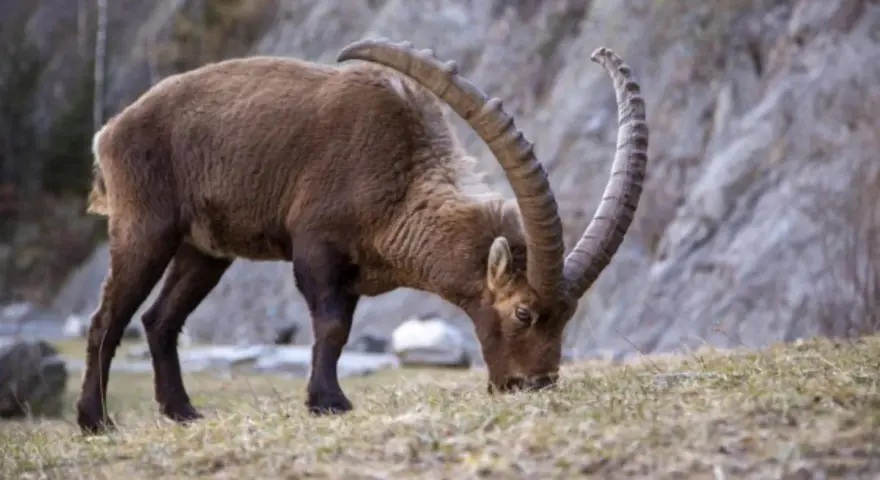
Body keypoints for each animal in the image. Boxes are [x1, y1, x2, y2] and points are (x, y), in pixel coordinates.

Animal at [76, 38, 648, 435]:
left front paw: (324, 398)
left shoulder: (349, 274)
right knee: (108, 319)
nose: (530, 386)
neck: (399, 175)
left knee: (160, 320)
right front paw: (328, 402)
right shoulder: (316, 250)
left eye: (567, 316)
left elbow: (341, 330)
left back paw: (182, 412)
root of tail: (110, 132)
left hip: (204, 251)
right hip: (146, 228)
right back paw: (94, 420)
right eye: (524, 312)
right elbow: (330, 327)